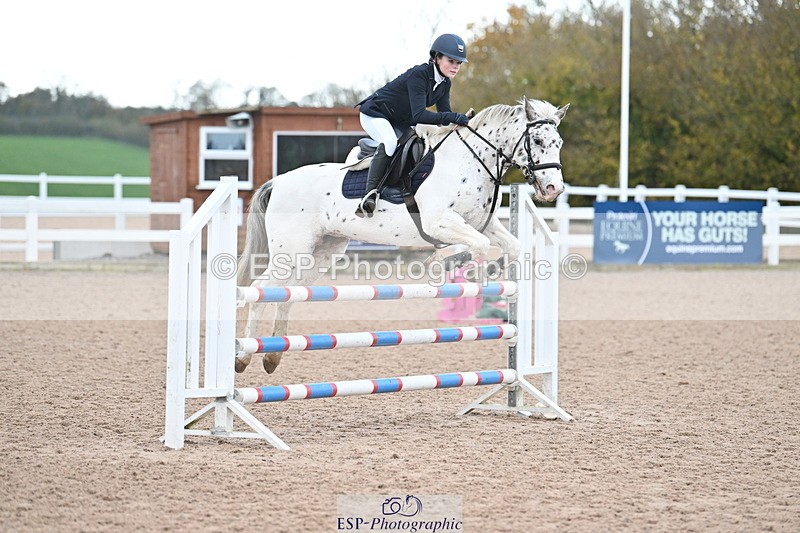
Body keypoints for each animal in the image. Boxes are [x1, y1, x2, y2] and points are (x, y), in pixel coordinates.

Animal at [235, 97, 569, 374]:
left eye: (559, 142)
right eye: (537, 140)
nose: (554, 189)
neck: (470, 162)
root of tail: (278, 181)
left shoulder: (482, 223)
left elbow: (511, 245)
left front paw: (488, 272)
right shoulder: (439, 222)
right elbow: (477, 245)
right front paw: (444, 263)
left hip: (321, 253)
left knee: (287, 295)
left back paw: (272, 356)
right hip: (291, 252)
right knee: (259, 292)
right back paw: (244, 357)